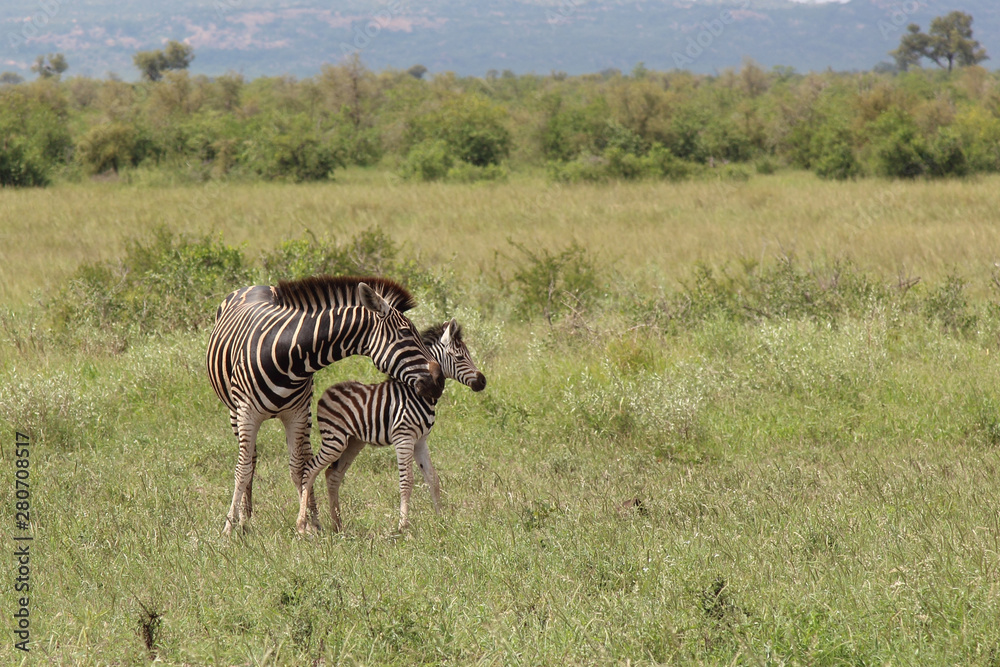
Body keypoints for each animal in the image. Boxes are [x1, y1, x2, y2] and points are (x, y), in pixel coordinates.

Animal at [206, 275, 444, 536]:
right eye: (405, 333)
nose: (439, 381)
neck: (288, 355)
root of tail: (254, 286)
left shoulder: (297, 414)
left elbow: (298, 468)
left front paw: (308, 523)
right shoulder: (247, 414)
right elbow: (242, 469)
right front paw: (229, 527)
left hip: (307, 416)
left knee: (305, 457)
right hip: (234, 413)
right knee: (251, 460)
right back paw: (244, 517)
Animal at [296, 318, 486, 533]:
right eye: (459, 357)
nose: (483, 381)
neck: (417, 394)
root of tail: (326, 392)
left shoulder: (420, 441)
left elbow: (433, 478)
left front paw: (441, 520)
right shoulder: (404, 438)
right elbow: (407, 481)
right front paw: (403, 526)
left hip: (354, 442)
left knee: (332, 474)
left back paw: (337, 525)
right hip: (335, 439)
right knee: (310, 469)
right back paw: (302, 524)